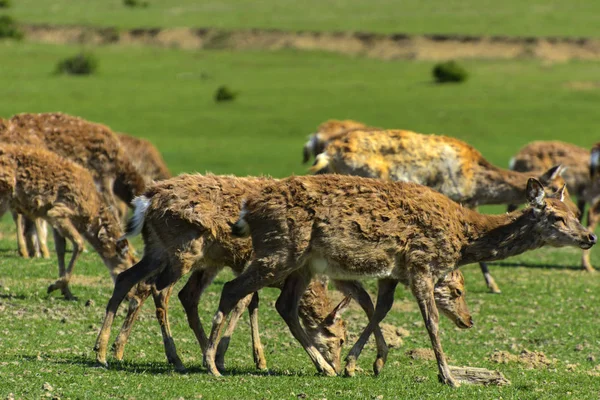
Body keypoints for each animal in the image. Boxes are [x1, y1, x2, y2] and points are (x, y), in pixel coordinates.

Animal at [0, 145, 135, 298]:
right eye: (129, 268)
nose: (134, 298)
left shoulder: (51, 217)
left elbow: (61, 249)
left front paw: (66, 291)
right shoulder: (59, 211)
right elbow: (79, 243)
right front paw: (57, 286)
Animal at [95, 173, 354, 374]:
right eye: (340, 339)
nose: (338, 366)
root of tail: (145, 201)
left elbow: (249, 302)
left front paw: (247, 358)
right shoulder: (249, 261)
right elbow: (245, 301)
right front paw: (230, 356)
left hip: (158, 250)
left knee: (129, 279)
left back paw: (104, 352)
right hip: (184, 251)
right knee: (159, 290)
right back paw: (175, 358)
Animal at [203, 173, 596, 386]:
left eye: (576, 212)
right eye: (556, 217)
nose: (590, 237)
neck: (463, 236)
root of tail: (248, 209)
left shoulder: (393, 272)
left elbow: (380, 309)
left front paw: (360, 364)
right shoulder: (422, 263)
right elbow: (431, 322)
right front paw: (448, 376)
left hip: (303, 263)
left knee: (283, 305)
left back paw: (324, 367)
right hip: (281, 250)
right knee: (232, 289)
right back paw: (211, 364)